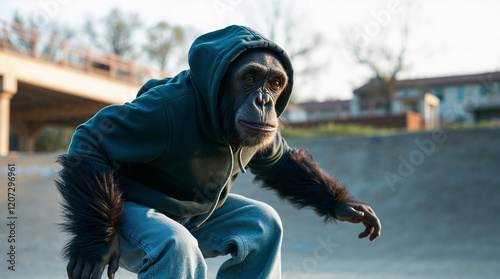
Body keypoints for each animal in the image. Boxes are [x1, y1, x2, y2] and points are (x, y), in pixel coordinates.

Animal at [55, 25, 382, 279]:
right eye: (250, 79)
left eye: (275, 82)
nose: (264, 101)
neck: (218, 122)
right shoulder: (160, 115)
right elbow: (93, 140)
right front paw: (98, 245)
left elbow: (278, 161)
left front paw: (345, 205)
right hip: (127, 224)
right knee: (175, 247)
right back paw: (101, 234)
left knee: (264, 225)